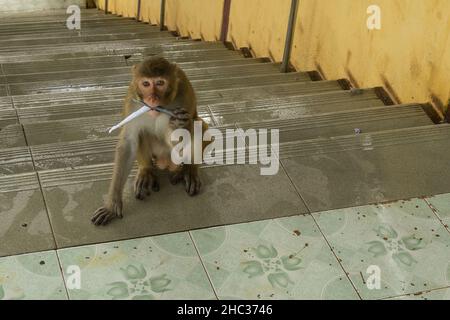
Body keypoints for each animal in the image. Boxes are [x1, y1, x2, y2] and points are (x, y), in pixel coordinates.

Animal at [93, 57, 209, 225]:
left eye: (160, 83)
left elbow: (190, 129)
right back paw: (146, 171)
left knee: (199, 126)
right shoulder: (132, 101)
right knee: (141, 133)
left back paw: (188, 170)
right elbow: (129, 142)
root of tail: (165, 162)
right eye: (146, 84)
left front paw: (177, 124)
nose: (152, 98)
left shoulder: (184, 97)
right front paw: (112, 204)